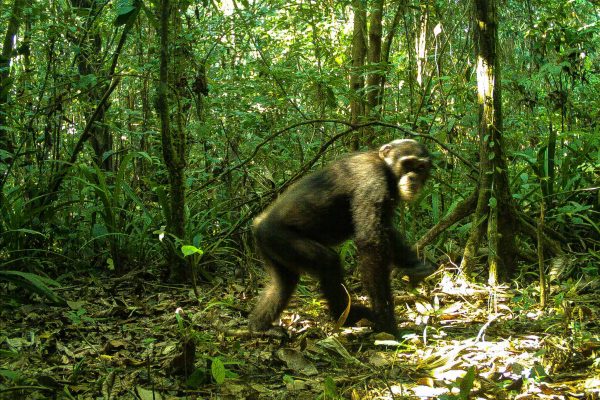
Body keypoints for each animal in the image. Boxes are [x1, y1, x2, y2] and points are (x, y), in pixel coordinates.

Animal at [246, 138, 434, 334]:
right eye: (407, 164)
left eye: (420, 168)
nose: (413, 177)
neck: (387, 168)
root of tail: (258, 224)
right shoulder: (373, 181)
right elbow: (370, 243)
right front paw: (386, 322)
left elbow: (387, 231)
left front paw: (418, 267)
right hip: (280, 238)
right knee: (328, 262)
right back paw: (347, 316)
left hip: (271, 247)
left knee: (283, 284)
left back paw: (259, 325)